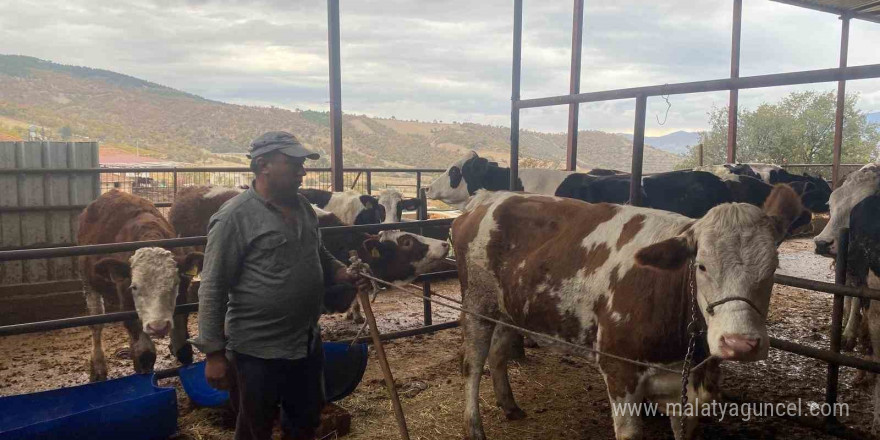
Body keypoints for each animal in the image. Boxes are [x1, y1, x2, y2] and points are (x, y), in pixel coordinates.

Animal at [78, 190, 203, 382]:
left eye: (175, 283)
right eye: (134, 287)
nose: (158, 327)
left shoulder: (182, 302)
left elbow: (184, 349)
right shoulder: (128, 305)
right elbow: (146, 354)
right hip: (88, 283)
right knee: (96, 325)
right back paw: (98, 369)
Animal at [454, 186, 804, 440]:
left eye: (774, 268)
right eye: (701, 265)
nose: (740, 343)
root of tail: (487, 197)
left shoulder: (686, 394)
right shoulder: (619, 372)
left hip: (508, 309)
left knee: (498, 353)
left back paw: (510, 406)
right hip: (476, 301)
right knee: (473, 363)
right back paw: (474, 427)